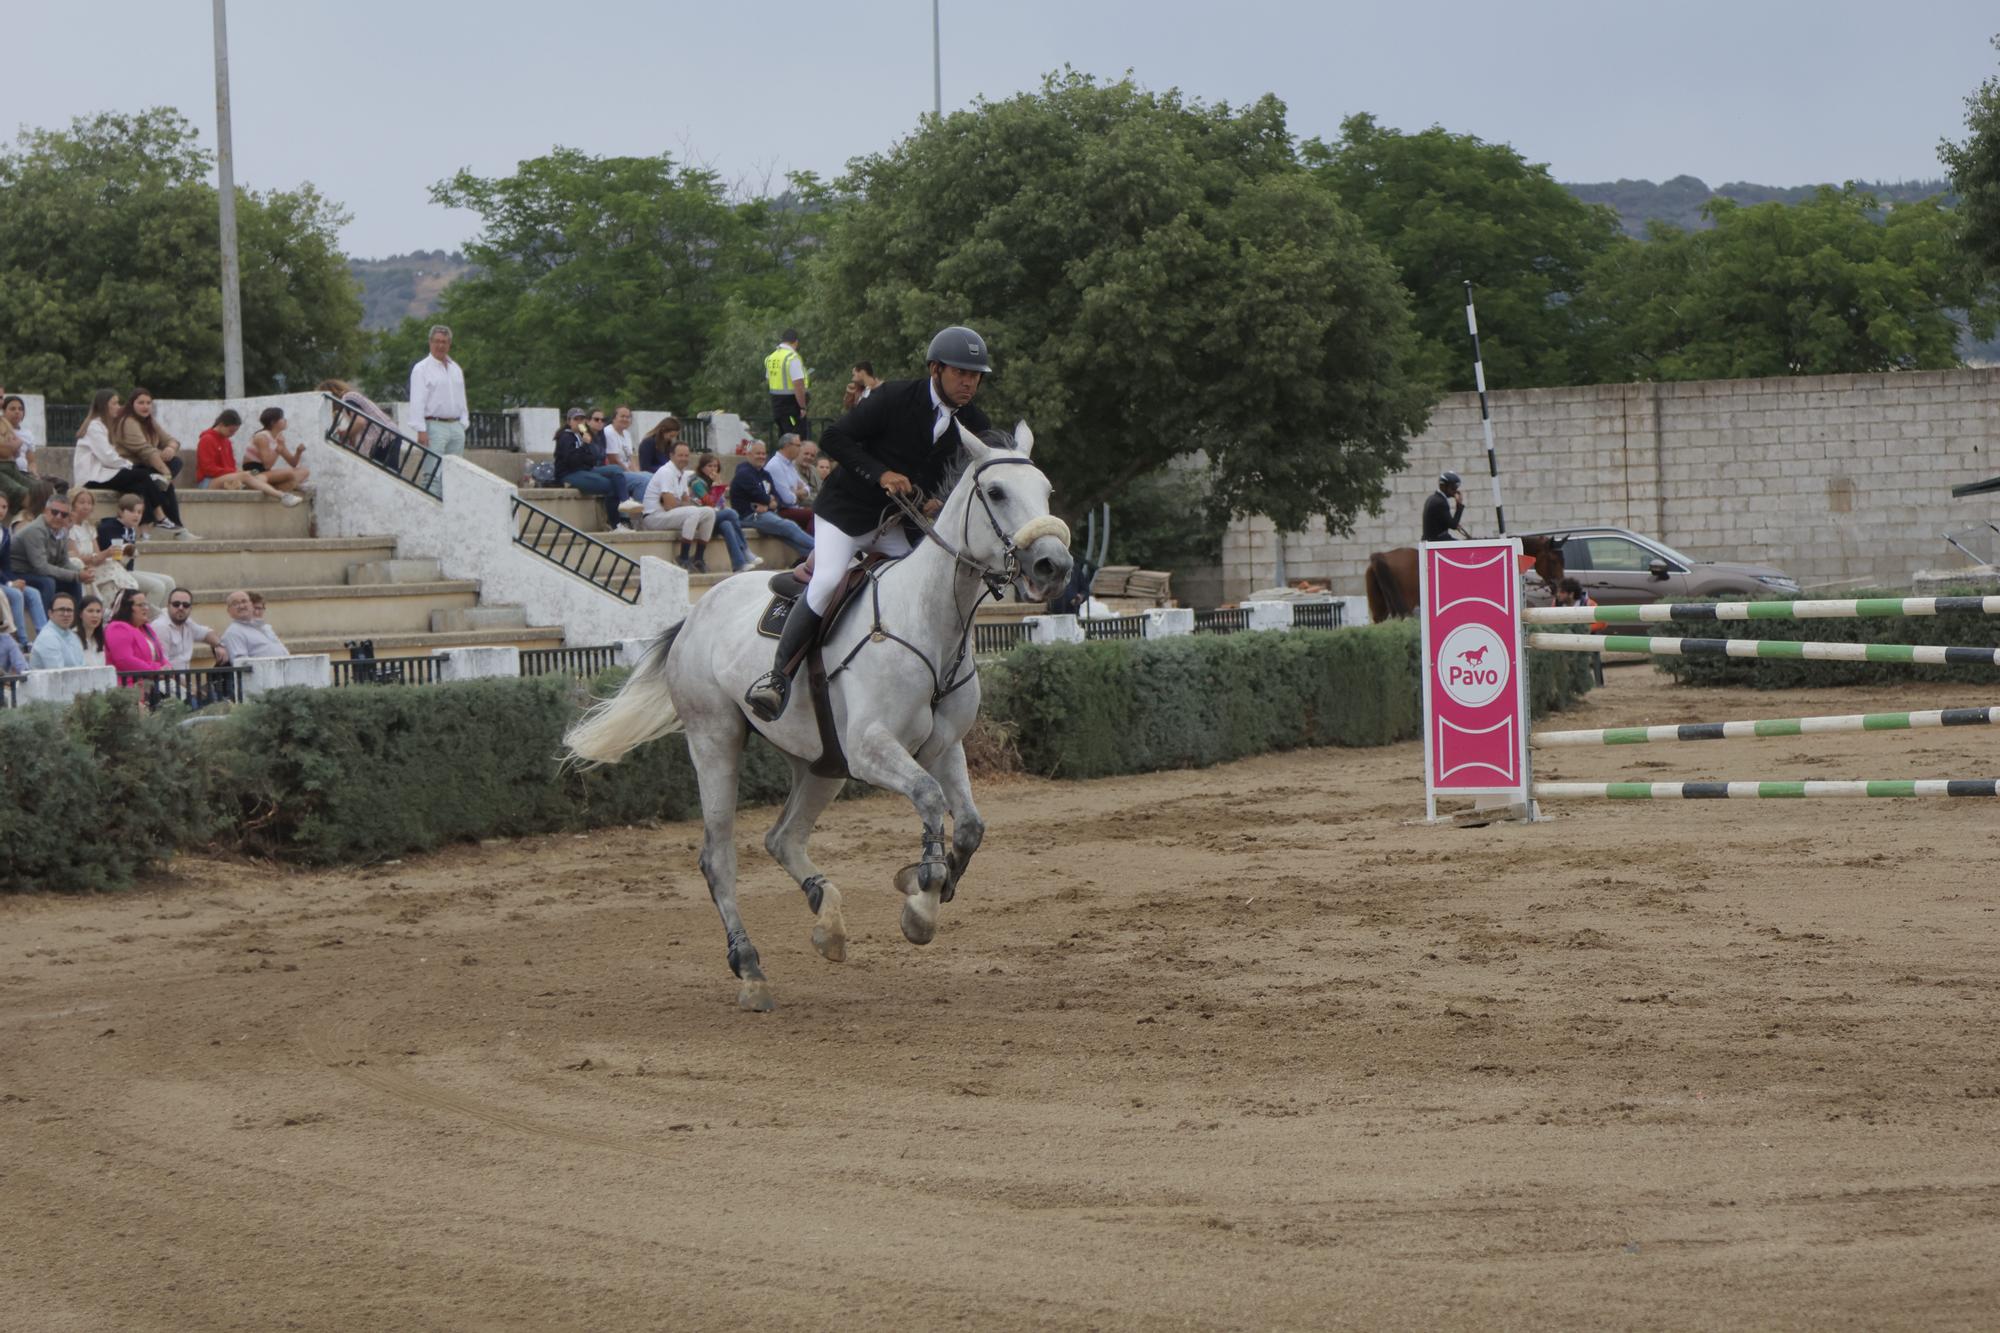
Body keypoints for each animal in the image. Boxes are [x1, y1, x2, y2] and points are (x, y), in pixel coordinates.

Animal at [564, 422, 1080, 1008]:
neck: (932, 619)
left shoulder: (944, 747)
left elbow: (969, 825)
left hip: (821, 764)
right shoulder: (871, 747)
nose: (1054, 568)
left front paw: (927, 880)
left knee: (783, 838)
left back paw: (827, 920)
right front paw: (920, 904)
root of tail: (696, 611)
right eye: (995, 493)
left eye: (1046, 491)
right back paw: (750, 969)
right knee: (719, 856)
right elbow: (929, 799)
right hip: (716, 740)